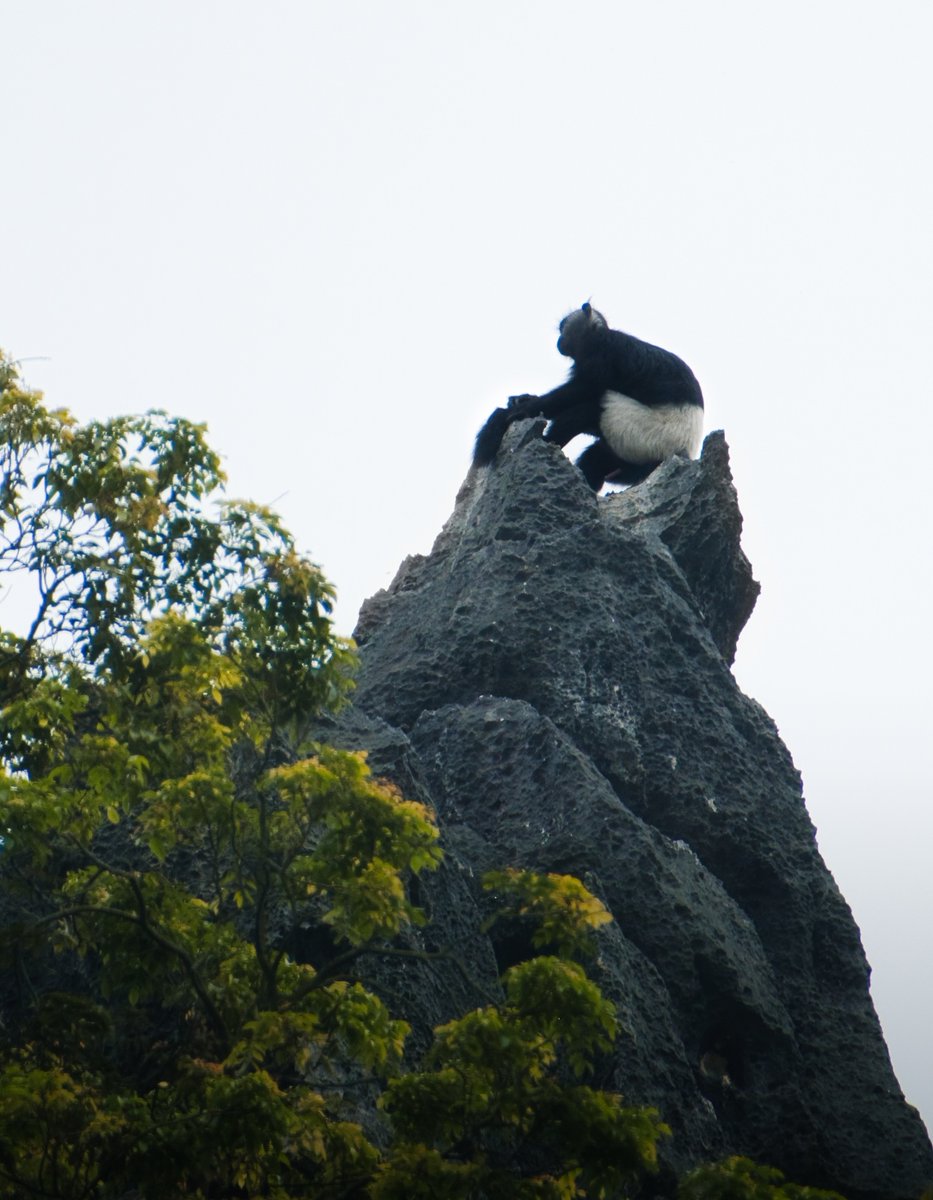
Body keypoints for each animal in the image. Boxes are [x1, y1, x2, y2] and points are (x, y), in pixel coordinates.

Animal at [473, 303, 704, 491]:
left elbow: (582, 390)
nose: (559, 340)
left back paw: (548, 441)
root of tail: (683, 451)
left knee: (591, 408)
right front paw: (522, 399)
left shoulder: (602, 358)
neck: (599, 336)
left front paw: (520, 410)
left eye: (563, 328)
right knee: (595, 457)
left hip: (647, 434)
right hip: (628, 453)